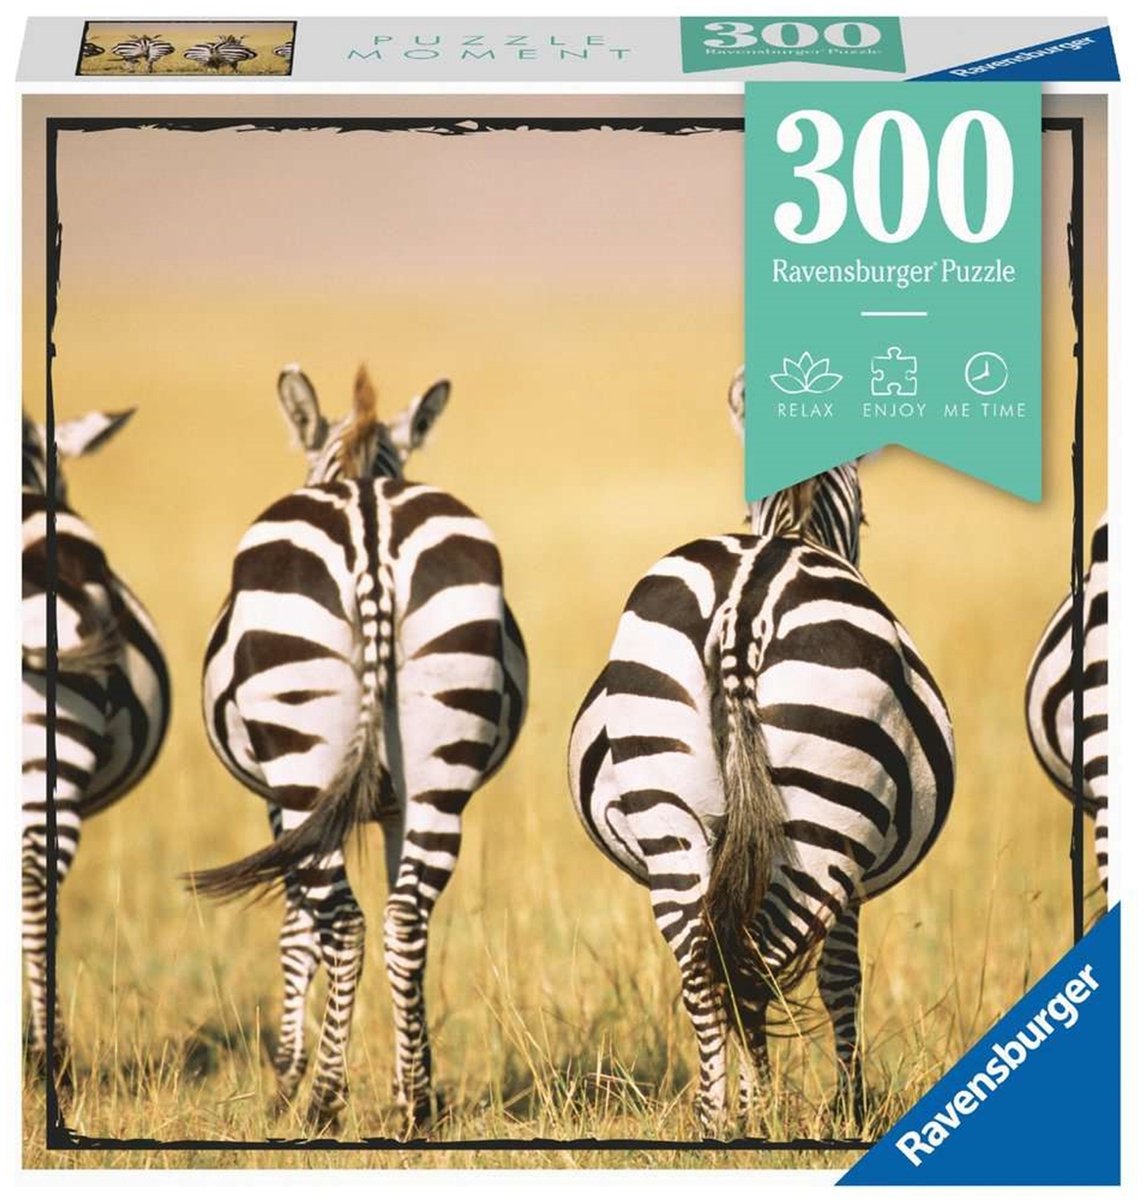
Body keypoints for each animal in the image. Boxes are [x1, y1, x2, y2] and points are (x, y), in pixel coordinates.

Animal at [189, 364, 527, 1131]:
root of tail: (369, 524)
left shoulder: (278, 808)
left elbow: (296, 930)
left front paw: (285, 1079)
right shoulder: (397, 807)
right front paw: (409, 1079)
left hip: (301, 762)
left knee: (342, 924)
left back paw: (320, 1102)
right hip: (439, 767)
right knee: (406, 919)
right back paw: (417, 1108)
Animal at [567, 369, 954, 1134]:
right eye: (867, 520)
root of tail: (746, 600)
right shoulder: (852, 883)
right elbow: (842, 977)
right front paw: (848, 1107)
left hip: (669, 812)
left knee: (704, 965)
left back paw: (715, 1119)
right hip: (824, 828)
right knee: (753, 964)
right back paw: (759, 1115)